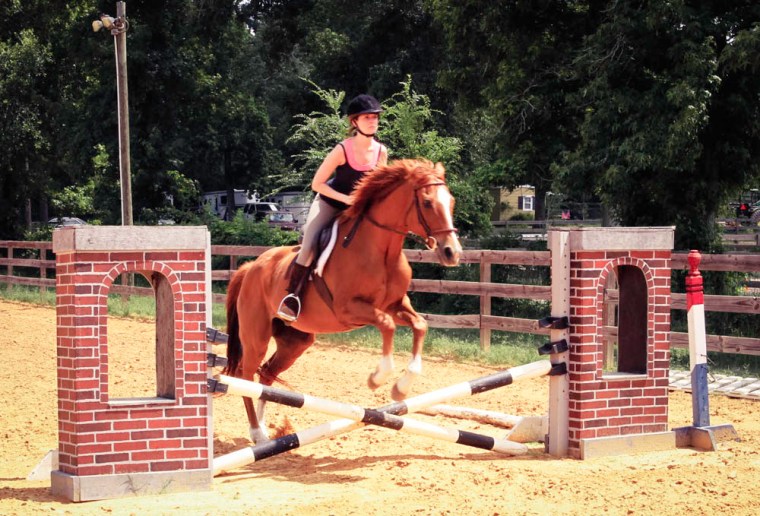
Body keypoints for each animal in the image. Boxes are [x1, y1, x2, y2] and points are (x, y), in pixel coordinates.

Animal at [223, 158, 463, 444]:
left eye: (451, 201)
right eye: (427, 202)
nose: (452, 252)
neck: (381, 252)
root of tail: (251, 267)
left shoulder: (395, 305)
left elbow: (419, 325)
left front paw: (401, 388)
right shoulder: (348, 309)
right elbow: (387, 325)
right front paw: (377, 378)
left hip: (295, 341)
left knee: (267, 374)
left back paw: (264, 428)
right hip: (256, 336)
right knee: (246, 375)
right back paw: (257, 432)